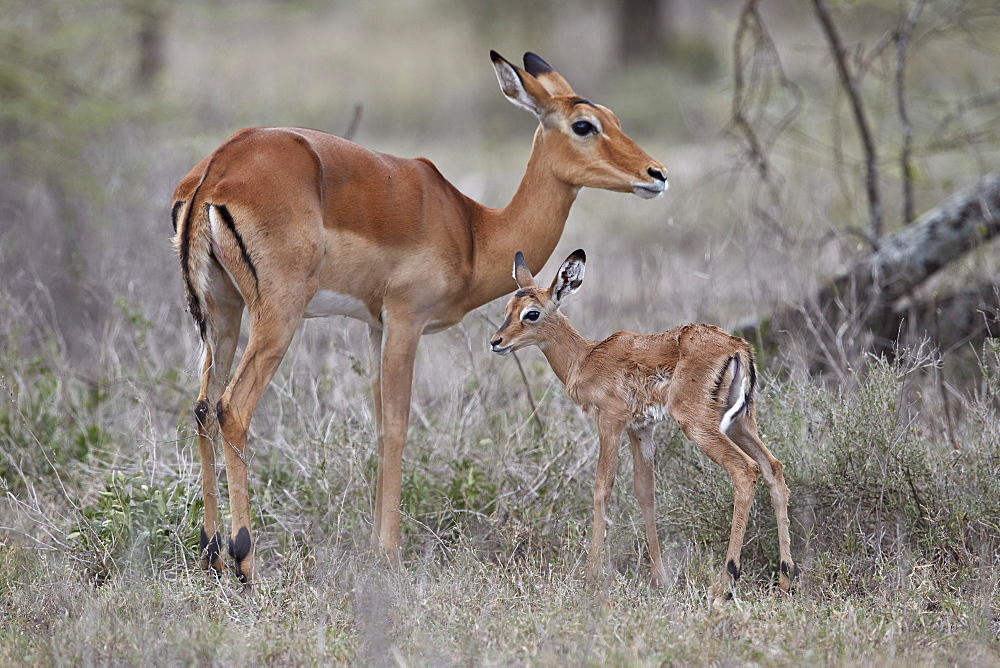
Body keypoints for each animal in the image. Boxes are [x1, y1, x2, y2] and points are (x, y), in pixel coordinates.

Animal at [176, 48, 668, 584]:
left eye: (614, 118)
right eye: (584, 125)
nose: (656, 174)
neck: (472, 230)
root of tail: (216, 171)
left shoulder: (375, 325)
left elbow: (377, 426)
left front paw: (374, 546)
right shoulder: (406, 319)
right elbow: (397, 427)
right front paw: (389, 554)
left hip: (222, 312)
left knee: (203, 408)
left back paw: (210, 553)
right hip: (278, 316)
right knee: (233, 408)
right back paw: (245, 561)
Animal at [488, 252, 800, 600]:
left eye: (532, 313)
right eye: (508, 308)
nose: (496, 342)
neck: (586, 358)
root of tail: (737, 347)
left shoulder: (609, 423)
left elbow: (602, 489)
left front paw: (591, 578)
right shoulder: (640, 430)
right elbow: (645, 492)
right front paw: (660, 578)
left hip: (699, 426)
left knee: (745, 470)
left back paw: (726, 581)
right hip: (741, 424)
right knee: (773, 468)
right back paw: (786, 577)